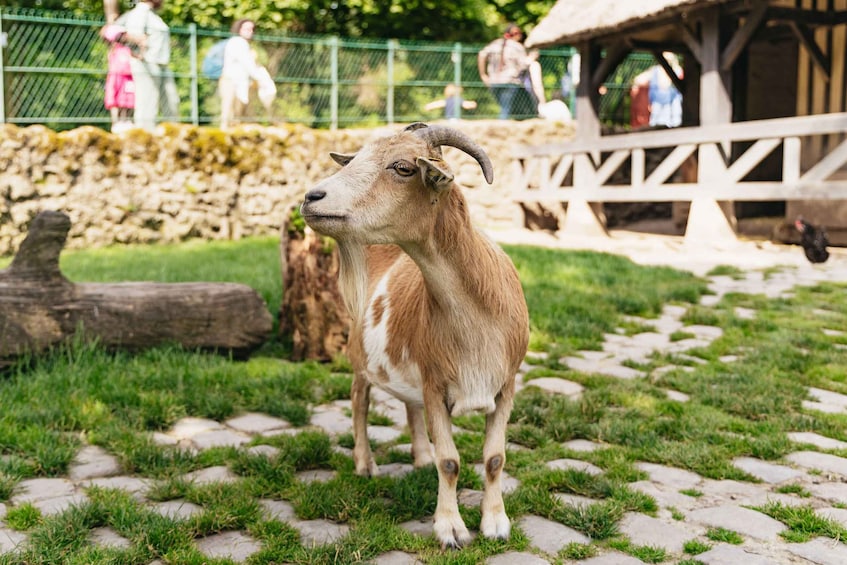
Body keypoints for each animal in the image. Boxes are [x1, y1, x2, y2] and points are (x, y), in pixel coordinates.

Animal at [300, 122, 529, 548]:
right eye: (355, 158)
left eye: (403, 167)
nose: (311, 198)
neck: (479, 316)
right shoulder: (437, 384)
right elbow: (450, 461)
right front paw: (450, 529)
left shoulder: (504, 386)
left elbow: (494, 458)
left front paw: (495, 524)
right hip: (360, 356)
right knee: (358, 401)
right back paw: (365, 464)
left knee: (409, 407)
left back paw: (420, 457)